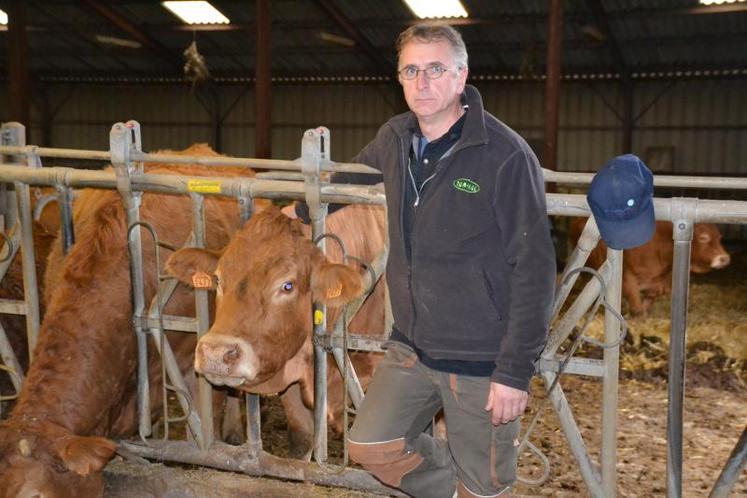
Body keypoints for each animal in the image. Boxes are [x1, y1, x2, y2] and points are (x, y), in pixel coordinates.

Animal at [568, 219, 732, 316]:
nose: (724, 258)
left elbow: (646, 307)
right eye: (703, 238)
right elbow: (638, 309)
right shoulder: (628, 278)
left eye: (719, 238)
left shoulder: (655, 286)